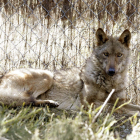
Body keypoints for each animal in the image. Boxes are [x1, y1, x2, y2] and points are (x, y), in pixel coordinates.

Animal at [0, 28, 140, 115]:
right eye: (106, 54)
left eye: (119, 55)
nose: (111, 71)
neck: (110, 83)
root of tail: (3, 78)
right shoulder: (89, 103)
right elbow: (117, 108)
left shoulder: (121, 101)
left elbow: (131, 107)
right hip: (47, 76)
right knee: (27, 100)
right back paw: (50, 103)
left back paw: (49, 104)